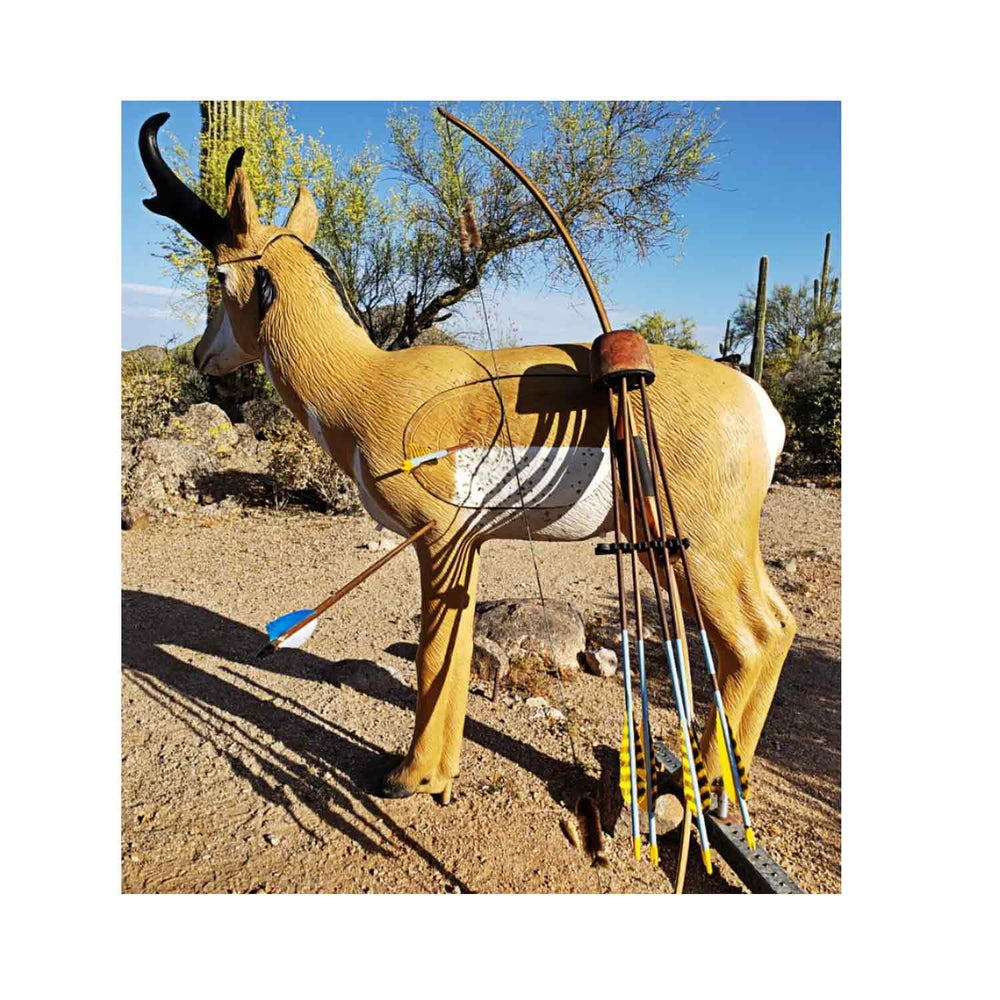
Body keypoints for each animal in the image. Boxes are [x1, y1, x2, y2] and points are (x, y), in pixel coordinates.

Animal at [139, 112, 796, 805]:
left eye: (217, 274)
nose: (200, 357)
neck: (367, 381)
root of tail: (760, 405)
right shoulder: (466, 547)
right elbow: (451, 657)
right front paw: (438, 775)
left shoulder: (439, 539)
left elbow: (433, 655)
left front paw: (407, 778)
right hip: (689, 551)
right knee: (777, 625)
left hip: (700, 549)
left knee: (752, 640)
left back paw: (709, 788)